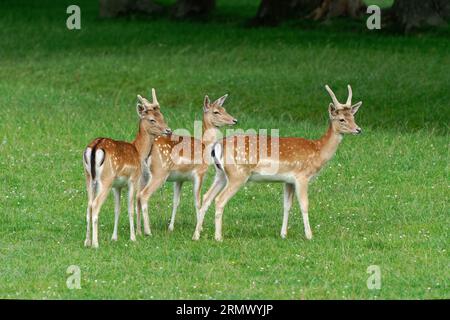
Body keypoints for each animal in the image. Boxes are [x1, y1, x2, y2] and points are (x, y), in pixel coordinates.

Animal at [82, 89, 171, 249]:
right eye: (151, 120)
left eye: (161, 116)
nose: (168, 130)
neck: (138, 151)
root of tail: (95, 147)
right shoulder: (133, 179)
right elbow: (130, 208)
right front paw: (133, 237)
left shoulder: (117, 186)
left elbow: (117, 209)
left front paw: (114, 237)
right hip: (105, 179)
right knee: (95, 204)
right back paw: (96, 243)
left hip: (89, 177)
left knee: (88, 205)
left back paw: (87, 242)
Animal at [135, 95, 237, 235]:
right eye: (216, 112)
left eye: (224, 109)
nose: (234, 120)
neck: (205, 146)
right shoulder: (199, 173)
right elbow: (197, 201)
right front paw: (200, 227)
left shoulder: (179, 178)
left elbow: (176, 201)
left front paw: (171, 227)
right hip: (159, 173)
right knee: (144, 195)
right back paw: (148, 231)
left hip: (144, 175)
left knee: (137, 196)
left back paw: (138, 231)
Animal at [193, 84, 362, 240]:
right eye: (342, 119)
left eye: (353, 117)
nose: (359, 129)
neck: (317, 151)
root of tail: (217, 146)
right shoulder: (302, 176)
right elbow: (304, 205)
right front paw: (309, 235)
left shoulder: (288, 181)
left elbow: (287, 206)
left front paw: (283, 234)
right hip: (238, 174)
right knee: (219, 200)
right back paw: (218, 237)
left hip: (221, 174)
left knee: (207, 197)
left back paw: (196, 235)